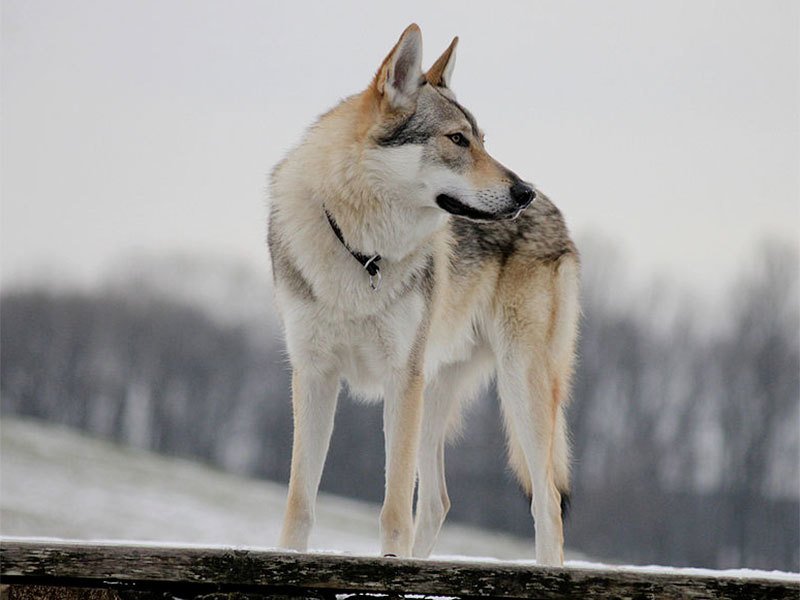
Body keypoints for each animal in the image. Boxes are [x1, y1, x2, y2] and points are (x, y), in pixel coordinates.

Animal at [266, 24, 580, 568]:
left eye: (482, 142)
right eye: (457, 139)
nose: (524, 193)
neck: (361, 252)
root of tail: (557, 215)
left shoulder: (400, 378)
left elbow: (394, 510)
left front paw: (392, 565)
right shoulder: (315, 375)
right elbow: (300, 503)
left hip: (518, 385)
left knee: (546, 503)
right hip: (435, 391)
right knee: (438, 502)